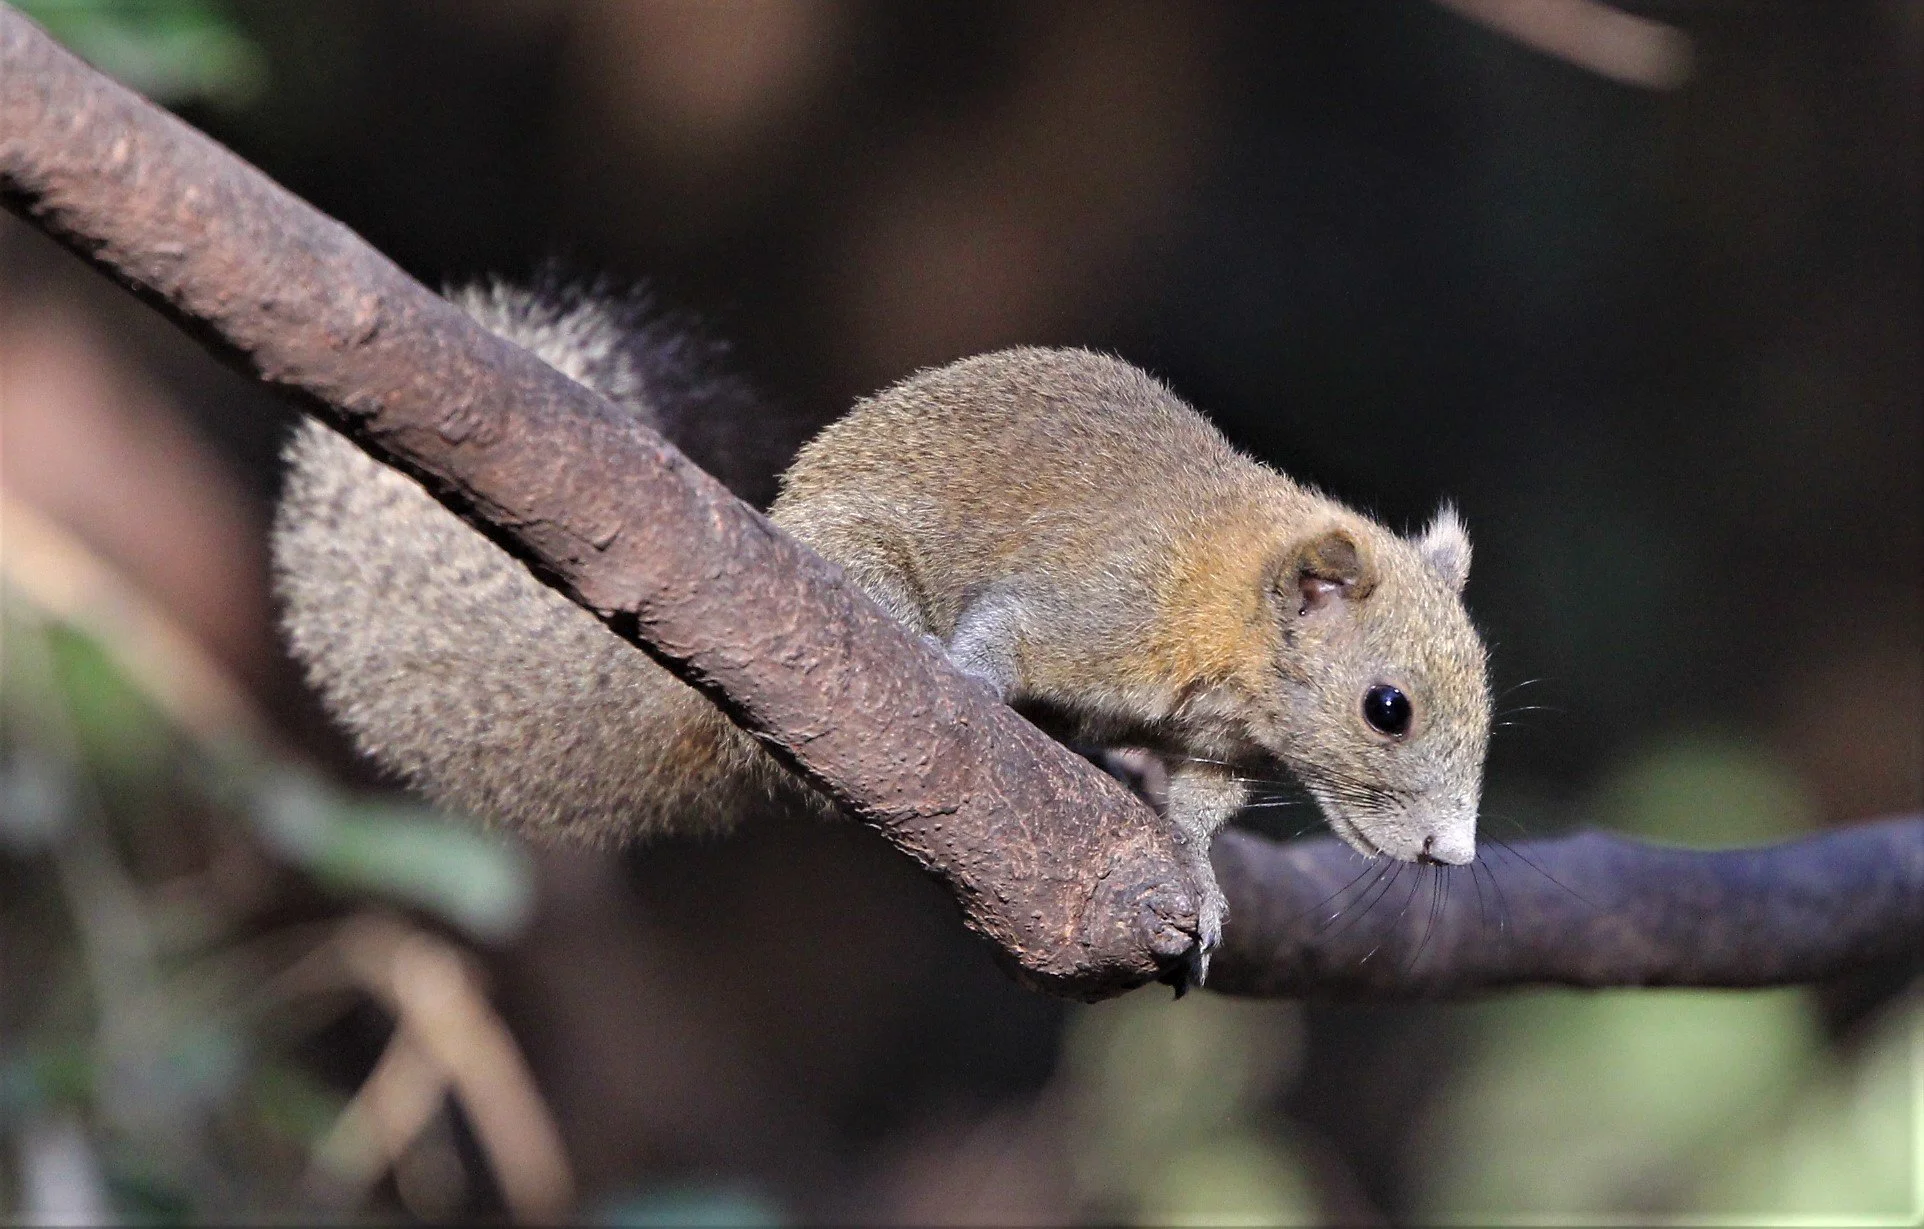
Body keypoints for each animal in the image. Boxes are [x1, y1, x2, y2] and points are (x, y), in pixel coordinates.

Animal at [273, 281, 1492, 983]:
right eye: (1387, 707)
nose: (1454, 853)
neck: (1231, 607)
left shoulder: (1217, 749)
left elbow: (1192, 815)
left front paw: (1196, 879)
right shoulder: (1091, 609)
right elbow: (998, 645)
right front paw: (977, 692)